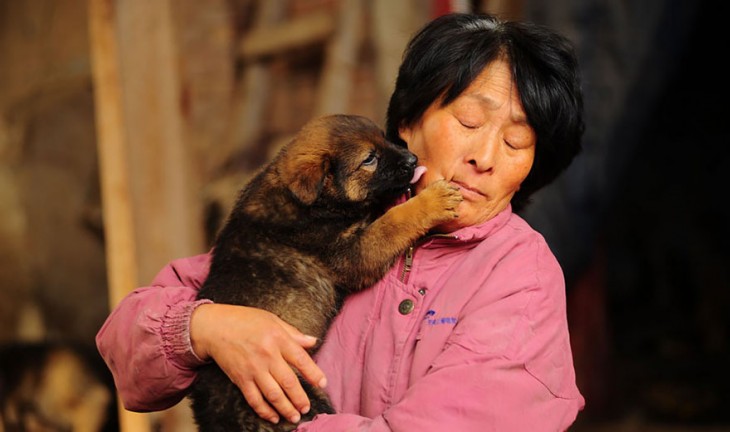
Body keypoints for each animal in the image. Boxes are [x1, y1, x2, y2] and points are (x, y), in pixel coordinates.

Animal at [188, 113, 460, 430]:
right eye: (370, 159)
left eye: (384, 138)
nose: (412, 158)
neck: (313, 201)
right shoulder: (352, 253)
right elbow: (394, 221)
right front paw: (433, 201)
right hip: (300, 401)